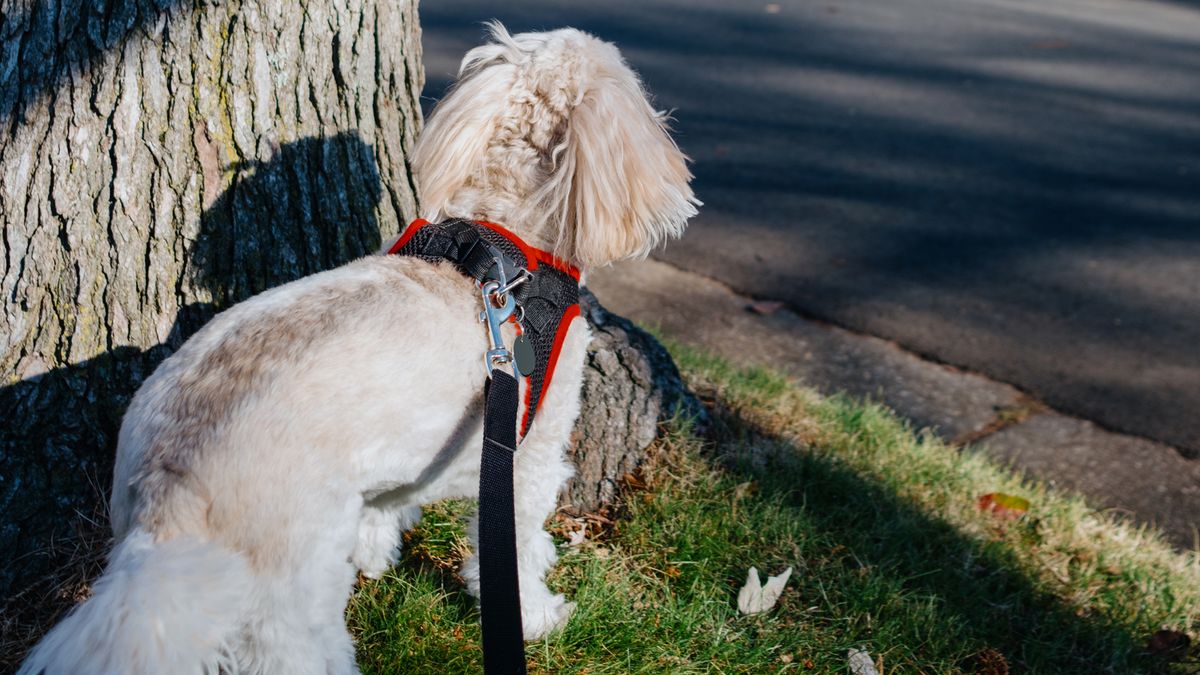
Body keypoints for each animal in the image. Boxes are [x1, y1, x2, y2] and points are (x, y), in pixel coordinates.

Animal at [18, 22, 700, 672]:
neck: (503, 245)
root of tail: (170, 491)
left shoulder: (407, 452)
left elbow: (387, 503)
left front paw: (377, 550)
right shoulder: (527, 456)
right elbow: (518, 549)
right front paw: (537, 616)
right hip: (288, 587)